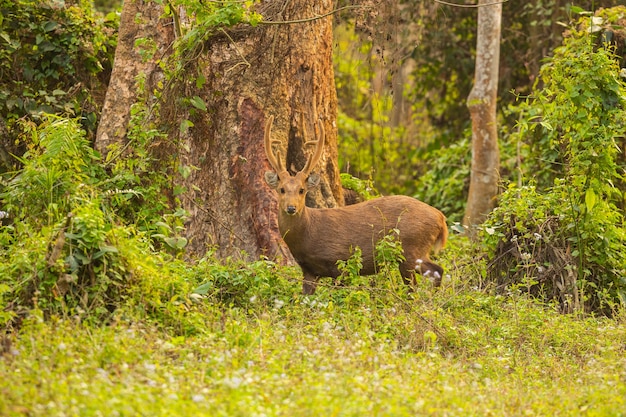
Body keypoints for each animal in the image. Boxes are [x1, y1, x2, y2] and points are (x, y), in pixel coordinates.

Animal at [260, 115, 446, 294]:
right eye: (282, 189)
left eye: (302, 190)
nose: (291, 208)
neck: (307, 233)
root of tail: (441, 218)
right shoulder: (309, 270)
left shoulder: (341, 261)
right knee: (437, 271)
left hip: (410, 248)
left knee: (424, 280)